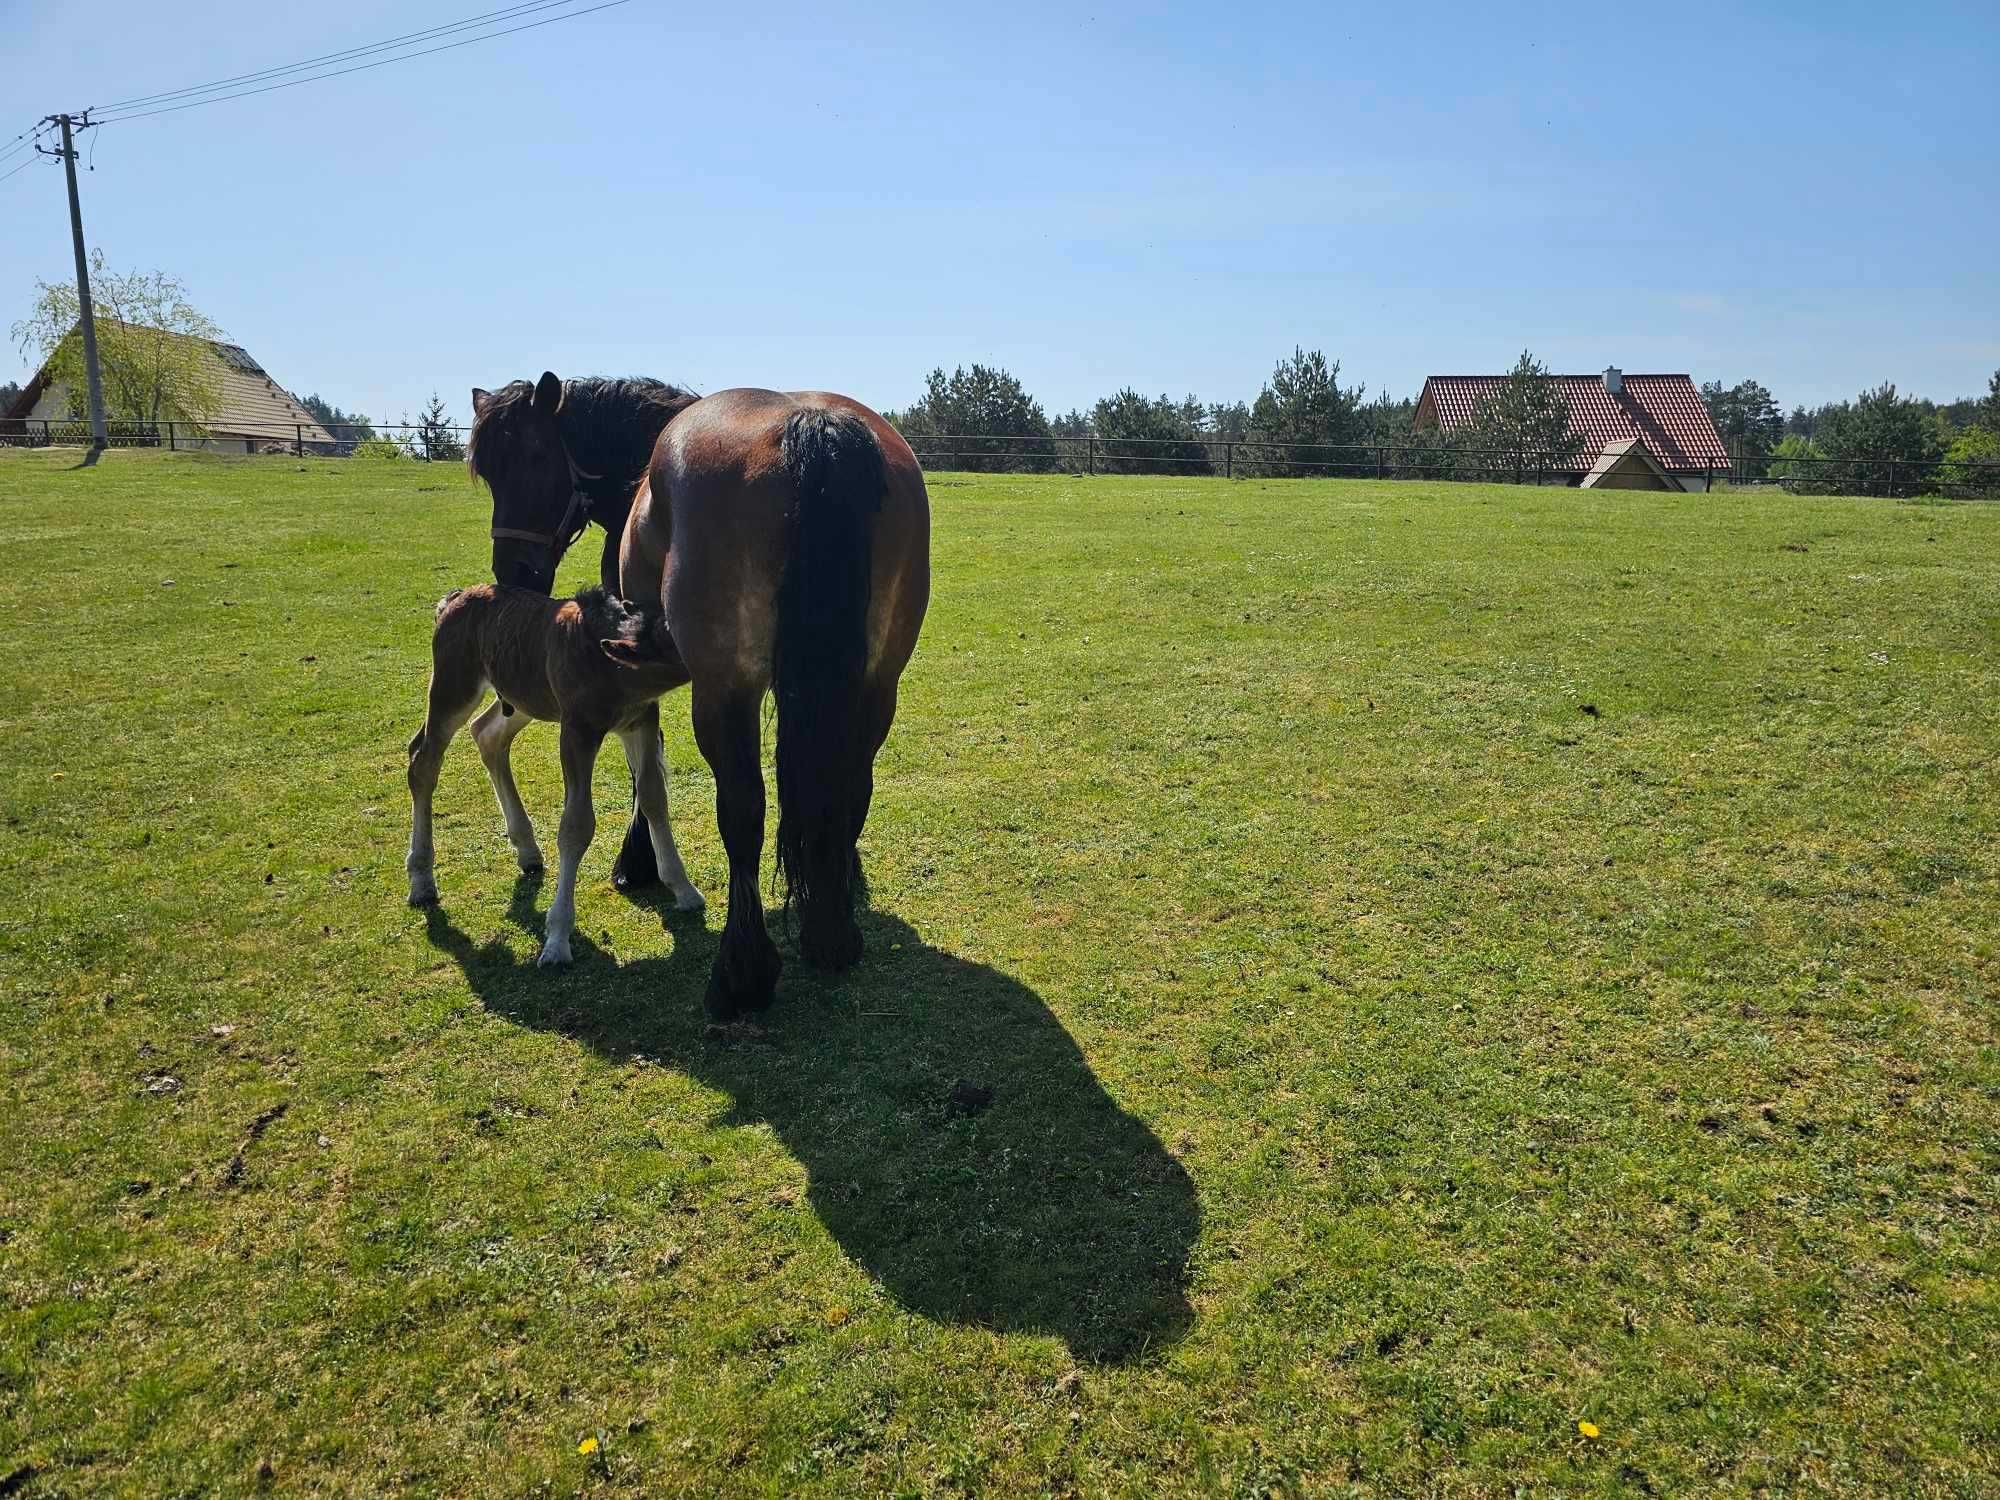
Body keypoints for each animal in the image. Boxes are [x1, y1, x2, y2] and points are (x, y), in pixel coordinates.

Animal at [404, 580, 704, 968]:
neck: (611, 667)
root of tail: (453, 599)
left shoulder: (640, 720)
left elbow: (653, 796)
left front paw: (684, 889)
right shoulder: (576, 730)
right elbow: (576, 825)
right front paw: (558, 939)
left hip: (520, 698)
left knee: (487, 734)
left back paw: (527, 849)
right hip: (453, 685)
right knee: (423, 761)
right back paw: (422, 879)